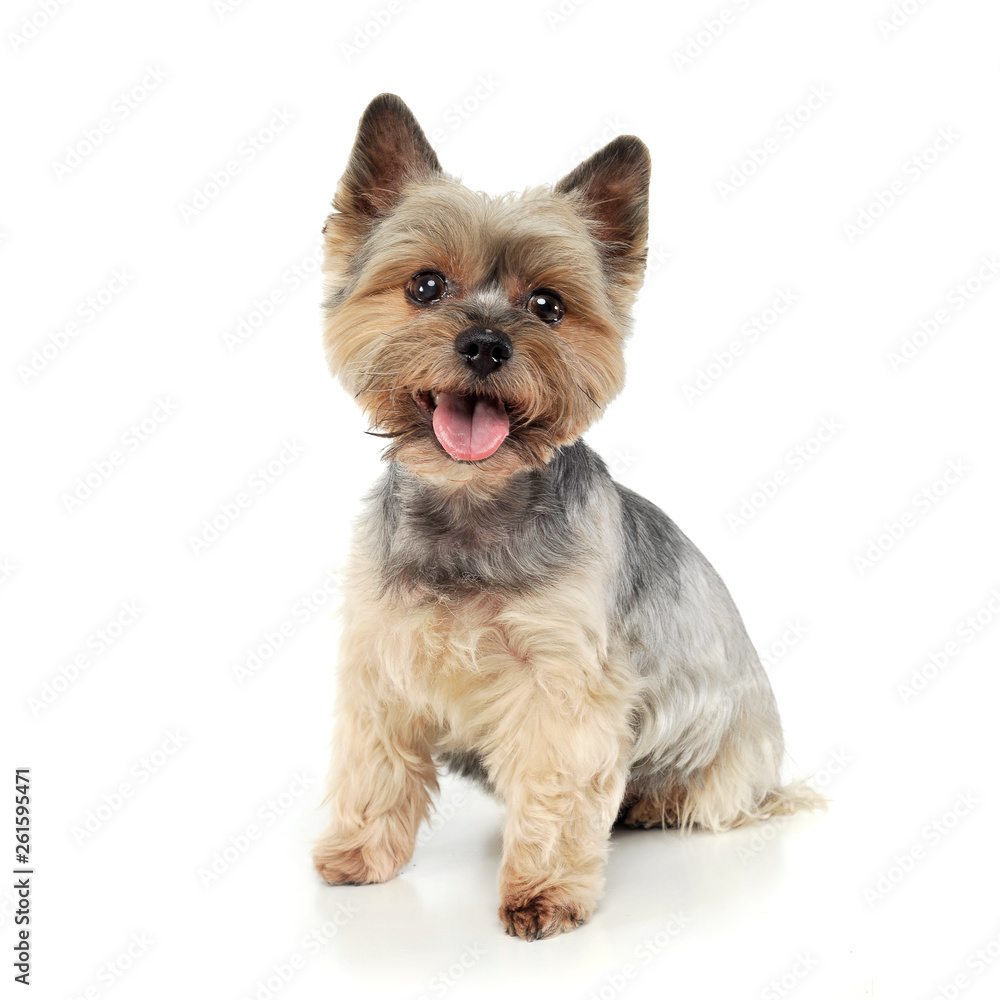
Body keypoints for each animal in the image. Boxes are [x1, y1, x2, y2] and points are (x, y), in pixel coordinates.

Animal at [314, 92, 820, 936]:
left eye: (548, 306)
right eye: (425, 285)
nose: (485, 344)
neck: (473, 506)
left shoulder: (562, 686)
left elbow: (556, 785)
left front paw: (542, 891)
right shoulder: (382, 659)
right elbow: (374, 767)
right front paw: (359, 855)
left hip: (723, 763)